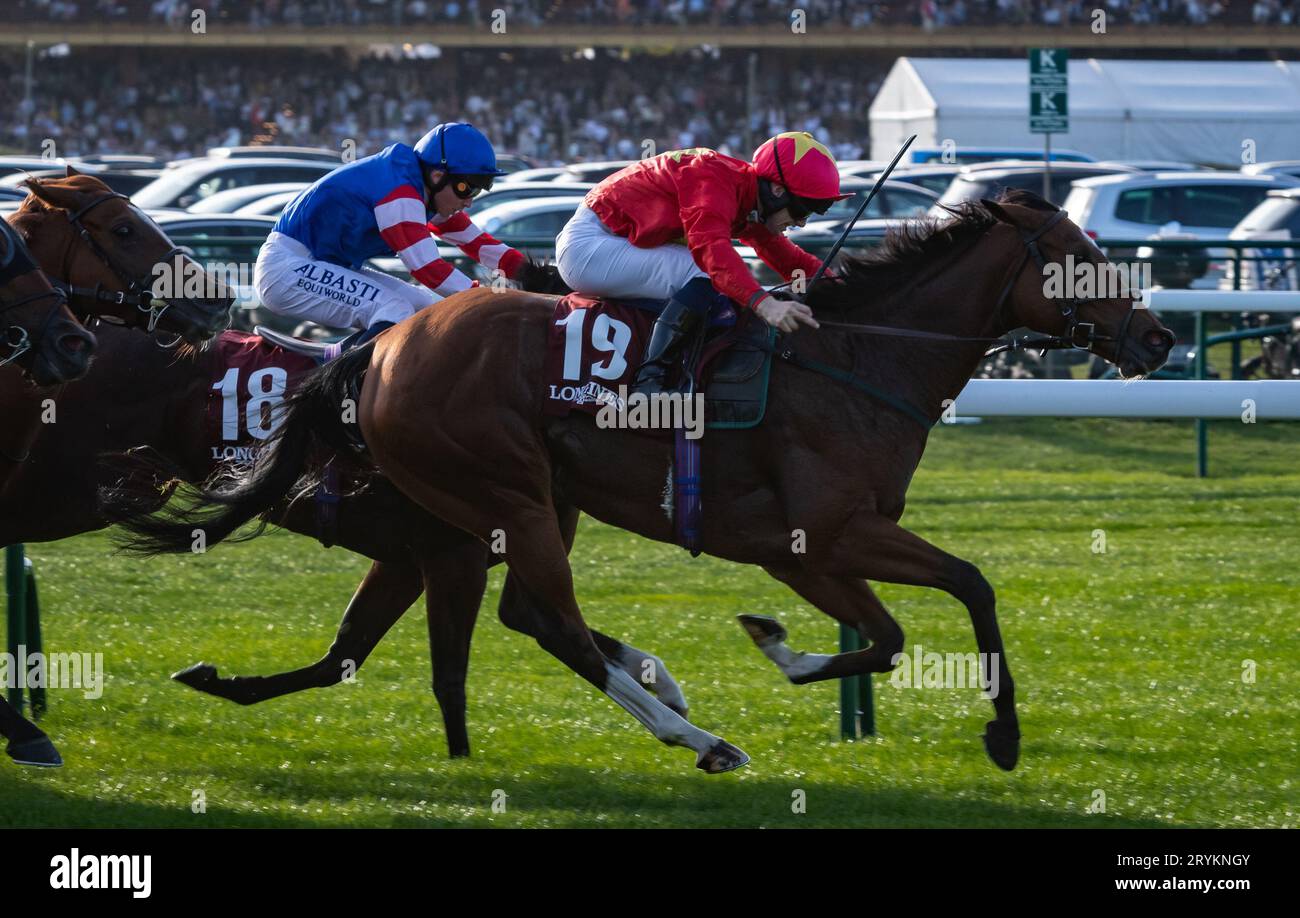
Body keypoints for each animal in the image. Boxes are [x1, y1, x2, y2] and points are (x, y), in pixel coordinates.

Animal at [114, 189, 1180, 769]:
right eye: (1077, 256)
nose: (1160, 337)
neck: (858, 359)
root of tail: (380, 350)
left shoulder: (807, 551)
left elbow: (885, 637)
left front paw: (780, 648)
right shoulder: (827, 535)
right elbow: (966, 588)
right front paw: (1003, 738)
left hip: (530, 503)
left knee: (531, 618)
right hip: (507, 494)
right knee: (552, 624)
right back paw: (697, 739)